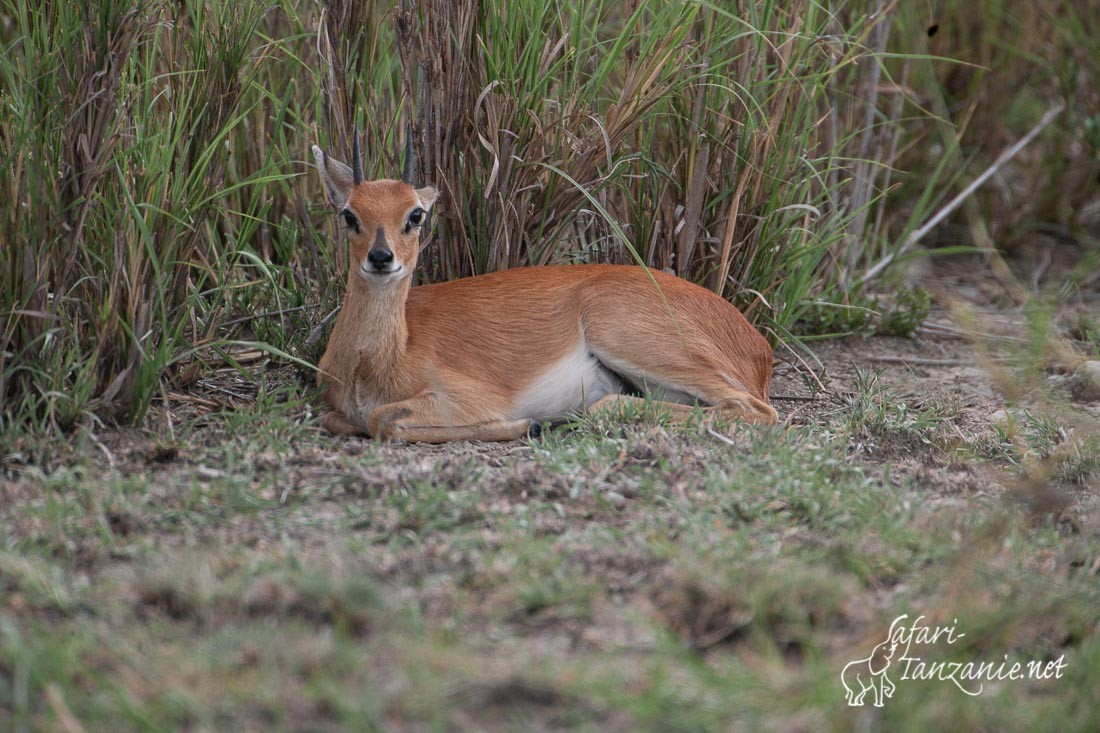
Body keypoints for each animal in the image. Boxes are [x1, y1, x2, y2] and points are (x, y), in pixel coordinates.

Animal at [310, 130, 774, 440]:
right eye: (349, 214)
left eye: (415, 214)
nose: (381, 258)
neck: (373, 362)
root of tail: (756, 346)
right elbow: (339, 419)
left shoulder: (466, 399)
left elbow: (382, 419)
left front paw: (522, 424)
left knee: (754, 409)